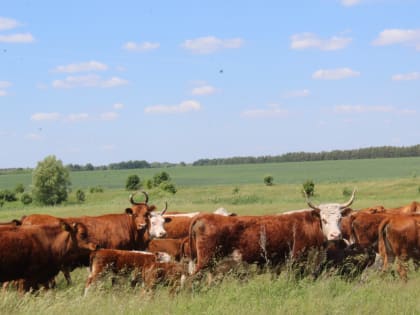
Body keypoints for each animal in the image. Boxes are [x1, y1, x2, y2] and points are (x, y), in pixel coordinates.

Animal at [189, 191, 356, 276]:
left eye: (340, 218)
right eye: (324, 219)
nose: (335, 235)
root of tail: (205, 216)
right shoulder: (296, 260)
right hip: (205, 260)